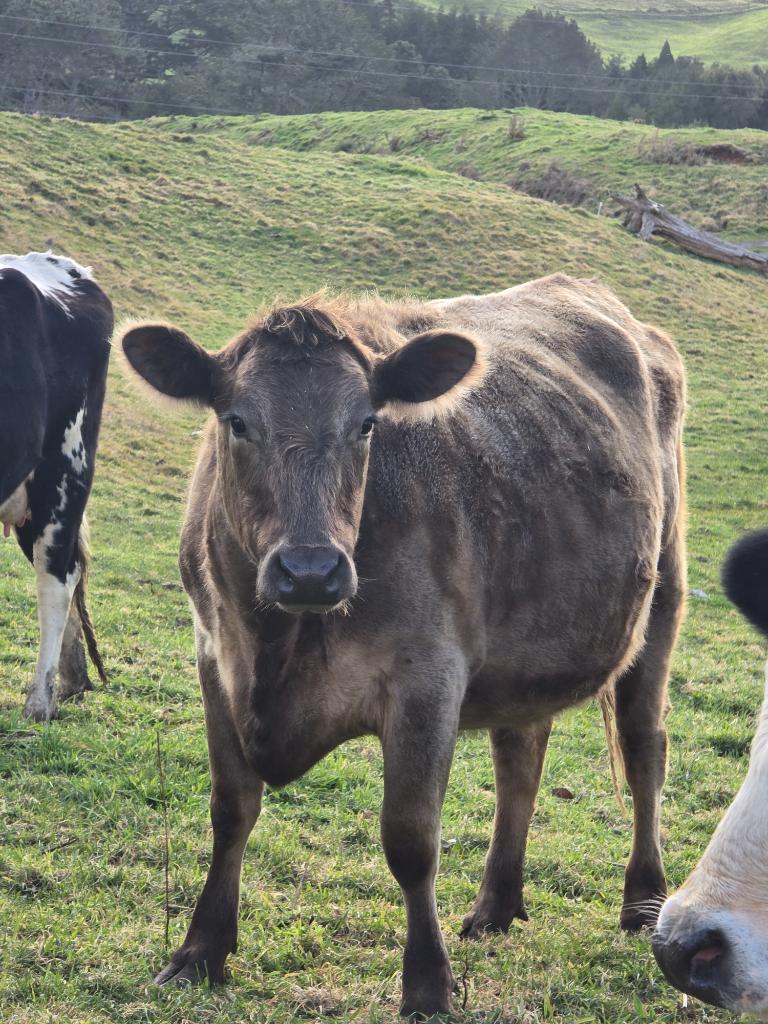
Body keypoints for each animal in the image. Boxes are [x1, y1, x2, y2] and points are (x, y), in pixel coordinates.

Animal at [119, 274, 686, 1017]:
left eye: (366, 423)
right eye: (236, 421)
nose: (309, 569)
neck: (279, 640)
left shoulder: (427, 677)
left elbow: (411, 839)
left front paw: (426, 984)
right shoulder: (216, 655)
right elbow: (230, 809)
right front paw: (200, 950)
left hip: (662, 596)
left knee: (645, 744)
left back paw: (643, 898)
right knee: (521, 757)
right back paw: (495, 904)